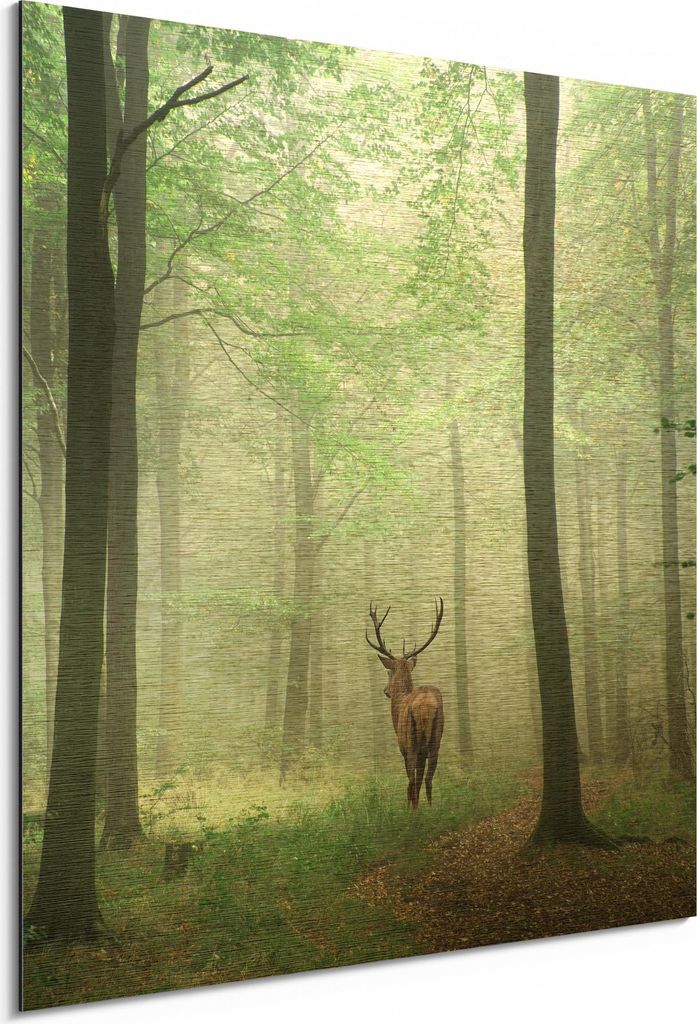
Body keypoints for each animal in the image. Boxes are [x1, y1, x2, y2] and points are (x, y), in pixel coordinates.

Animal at [366, 598, 445, 809]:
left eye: (389, 672)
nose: (386, 691)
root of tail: (425, 708)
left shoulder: (402, 746)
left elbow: (411, 780)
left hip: (411, 739)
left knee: (412, 780)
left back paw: (413, 811)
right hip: (436, 737)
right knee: (428, 778)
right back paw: (431, 809)